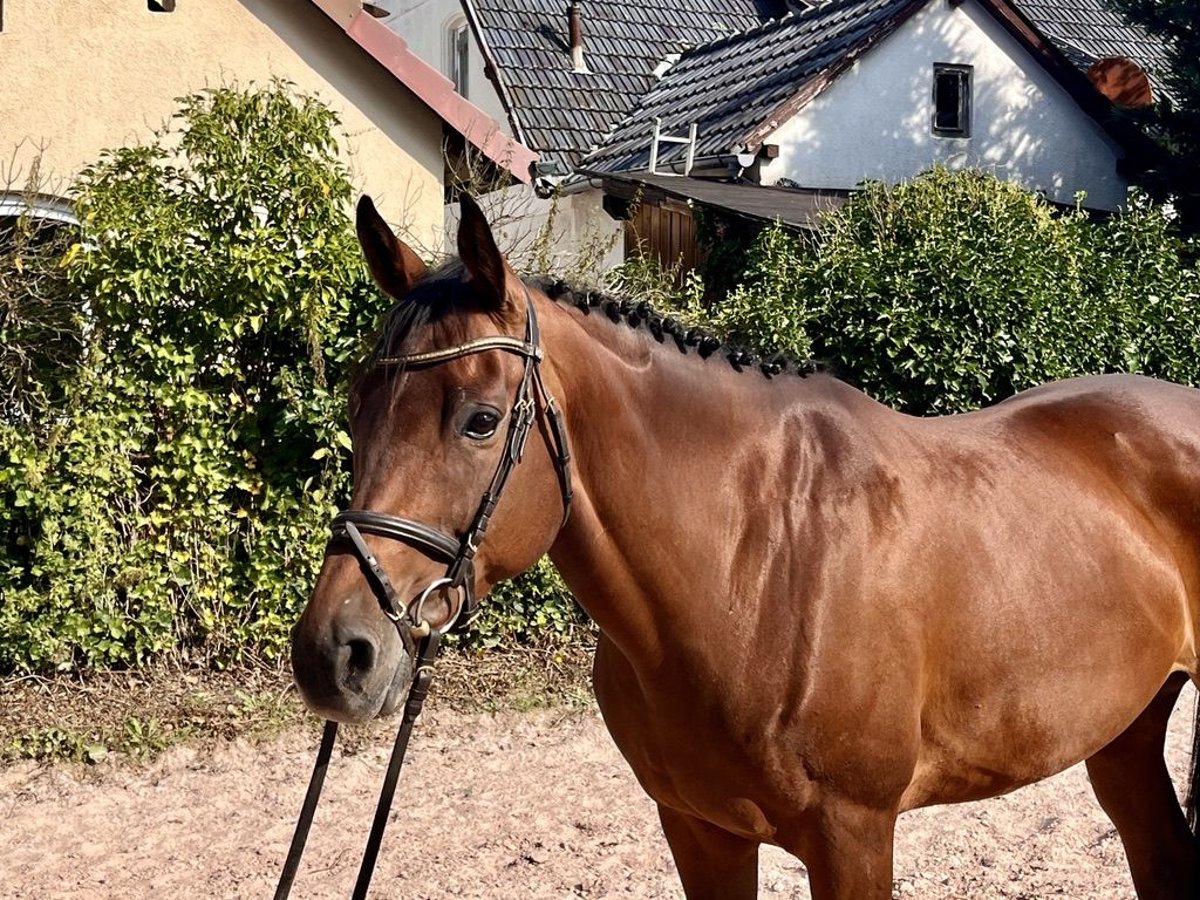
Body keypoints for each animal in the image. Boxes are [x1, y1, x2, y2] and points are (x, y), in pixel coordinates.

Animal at [290, 194, 1200, 897]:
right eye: (357, 402)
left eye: (479, 420)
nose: (335, 653)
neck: (750, 570)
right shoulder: (700, 829)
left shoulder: (853, 836)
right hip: (1124, 737)